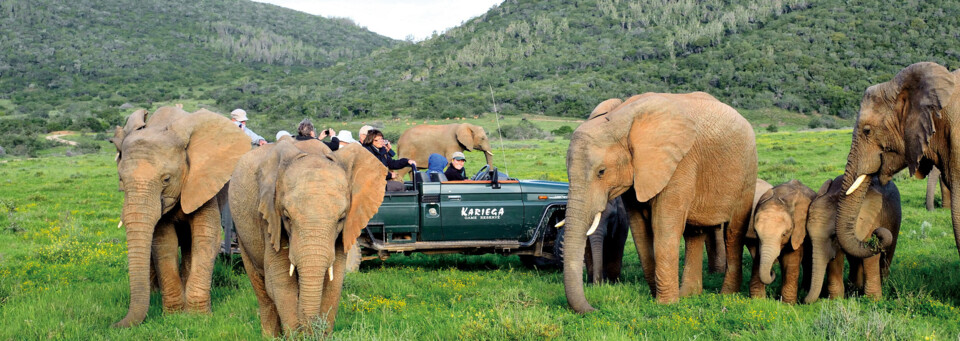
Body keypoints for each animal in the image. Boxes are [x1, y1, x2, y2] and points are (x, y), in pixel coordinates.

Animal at [109, 106, 251, 326]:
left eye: (166, 179)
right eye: (121, 180)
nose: (113, 324)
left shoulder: (203, 180)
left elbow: (205, 238)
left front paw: (197, 317)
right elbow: (163, 243)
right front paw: (174, 315)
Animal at [229, 138, 386, 334]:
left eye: (341, 218)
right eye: (287, 217)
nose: (310, 328)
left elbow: (334, 282)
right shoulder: (270, 219)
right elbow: (280, 281)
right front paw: (298, 334)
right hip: (242, 231)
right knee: (261, 289)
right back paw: (271, 335)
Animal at [564, 91, 756, 310]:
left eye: (601, 172)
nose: (595, 308)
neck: (621, 119)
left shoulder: (680, 164)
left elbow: (664, 226)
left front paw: (665, 305)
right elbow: (639, 228)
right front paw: (657, 297)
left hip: (747, 170)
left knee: (733, 232)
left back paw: (727, 296)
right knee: (694, 233)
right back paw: (688, 294)